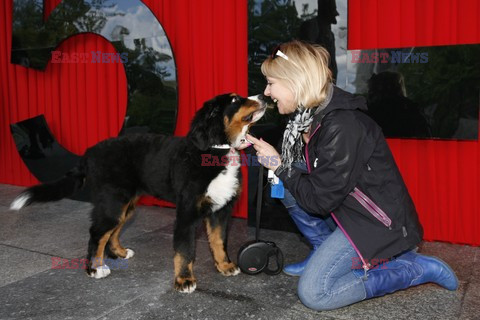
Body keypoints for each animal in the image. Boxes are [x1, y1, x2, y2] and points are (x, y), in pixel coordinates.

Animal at [9, 92, 268, 292]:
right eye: (235, 99)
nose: (264, 96)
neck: (216, 151)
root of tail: (89, 153)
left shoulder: (221, 210)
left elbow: (218, 241)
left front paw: (225, 266)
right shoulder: (187, 211)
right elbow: (185, 250)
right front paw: (184, 280)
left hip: (125, 205)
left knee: (111, 233)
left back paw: (120, 253)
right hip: (112, 202)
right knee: (97, 233)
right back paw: (95, 268)